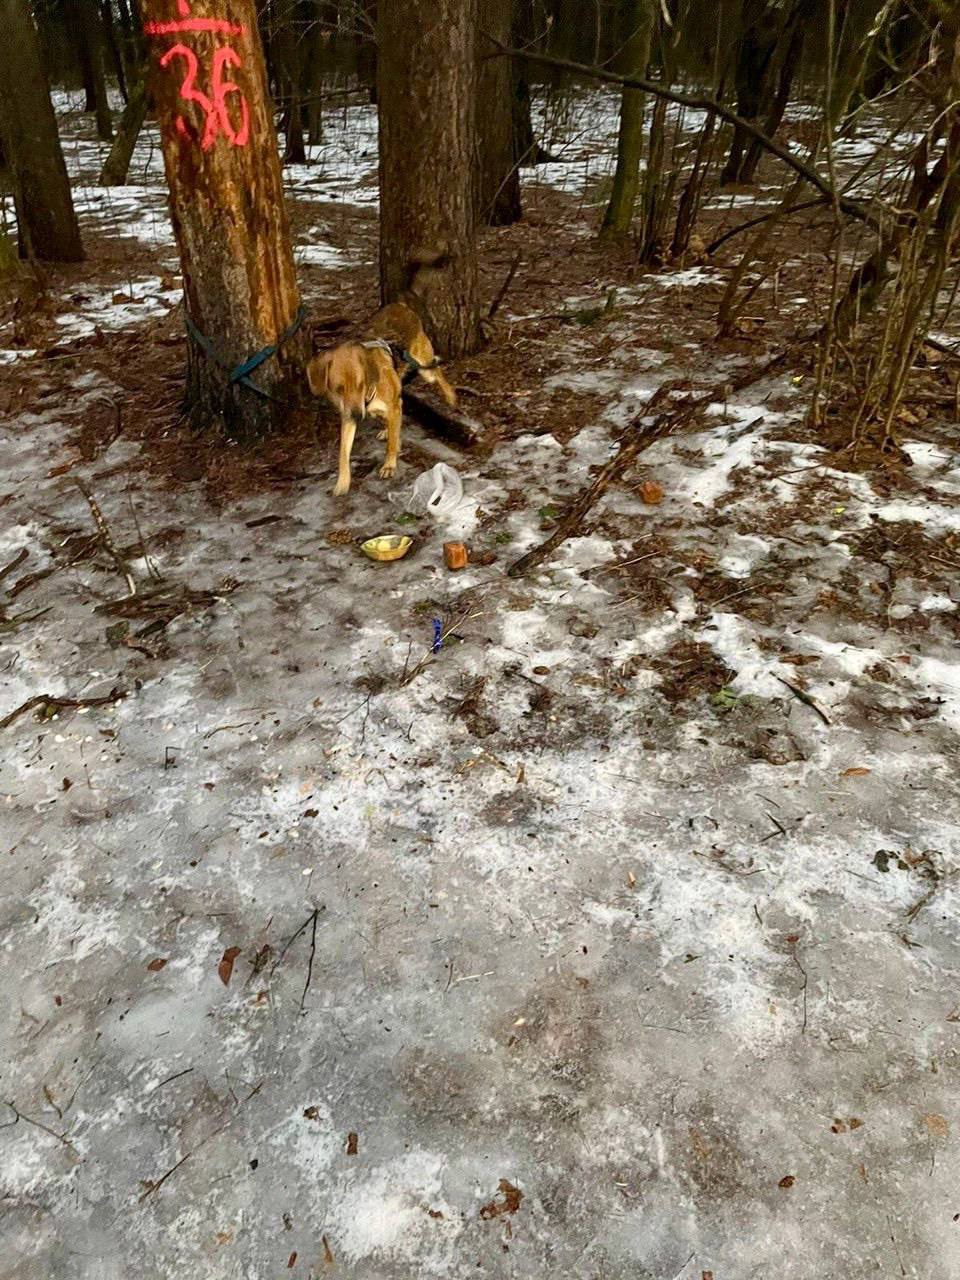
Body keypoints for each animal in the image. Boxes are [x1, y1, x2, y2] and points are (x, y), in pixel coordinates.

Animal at [308, 261, 458, 499]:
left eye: (361, 385)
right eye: (338, 389)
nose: (358, 416)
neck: (369, 393)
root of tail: (401, 305)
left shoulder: (391, 406)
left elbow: (392, 443)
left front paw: (389, 464)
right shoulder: (348, 416)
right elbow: (343, 454)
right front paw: (342, 482)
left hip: (424, 365)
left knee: (437, 372)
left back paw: (451, 397)